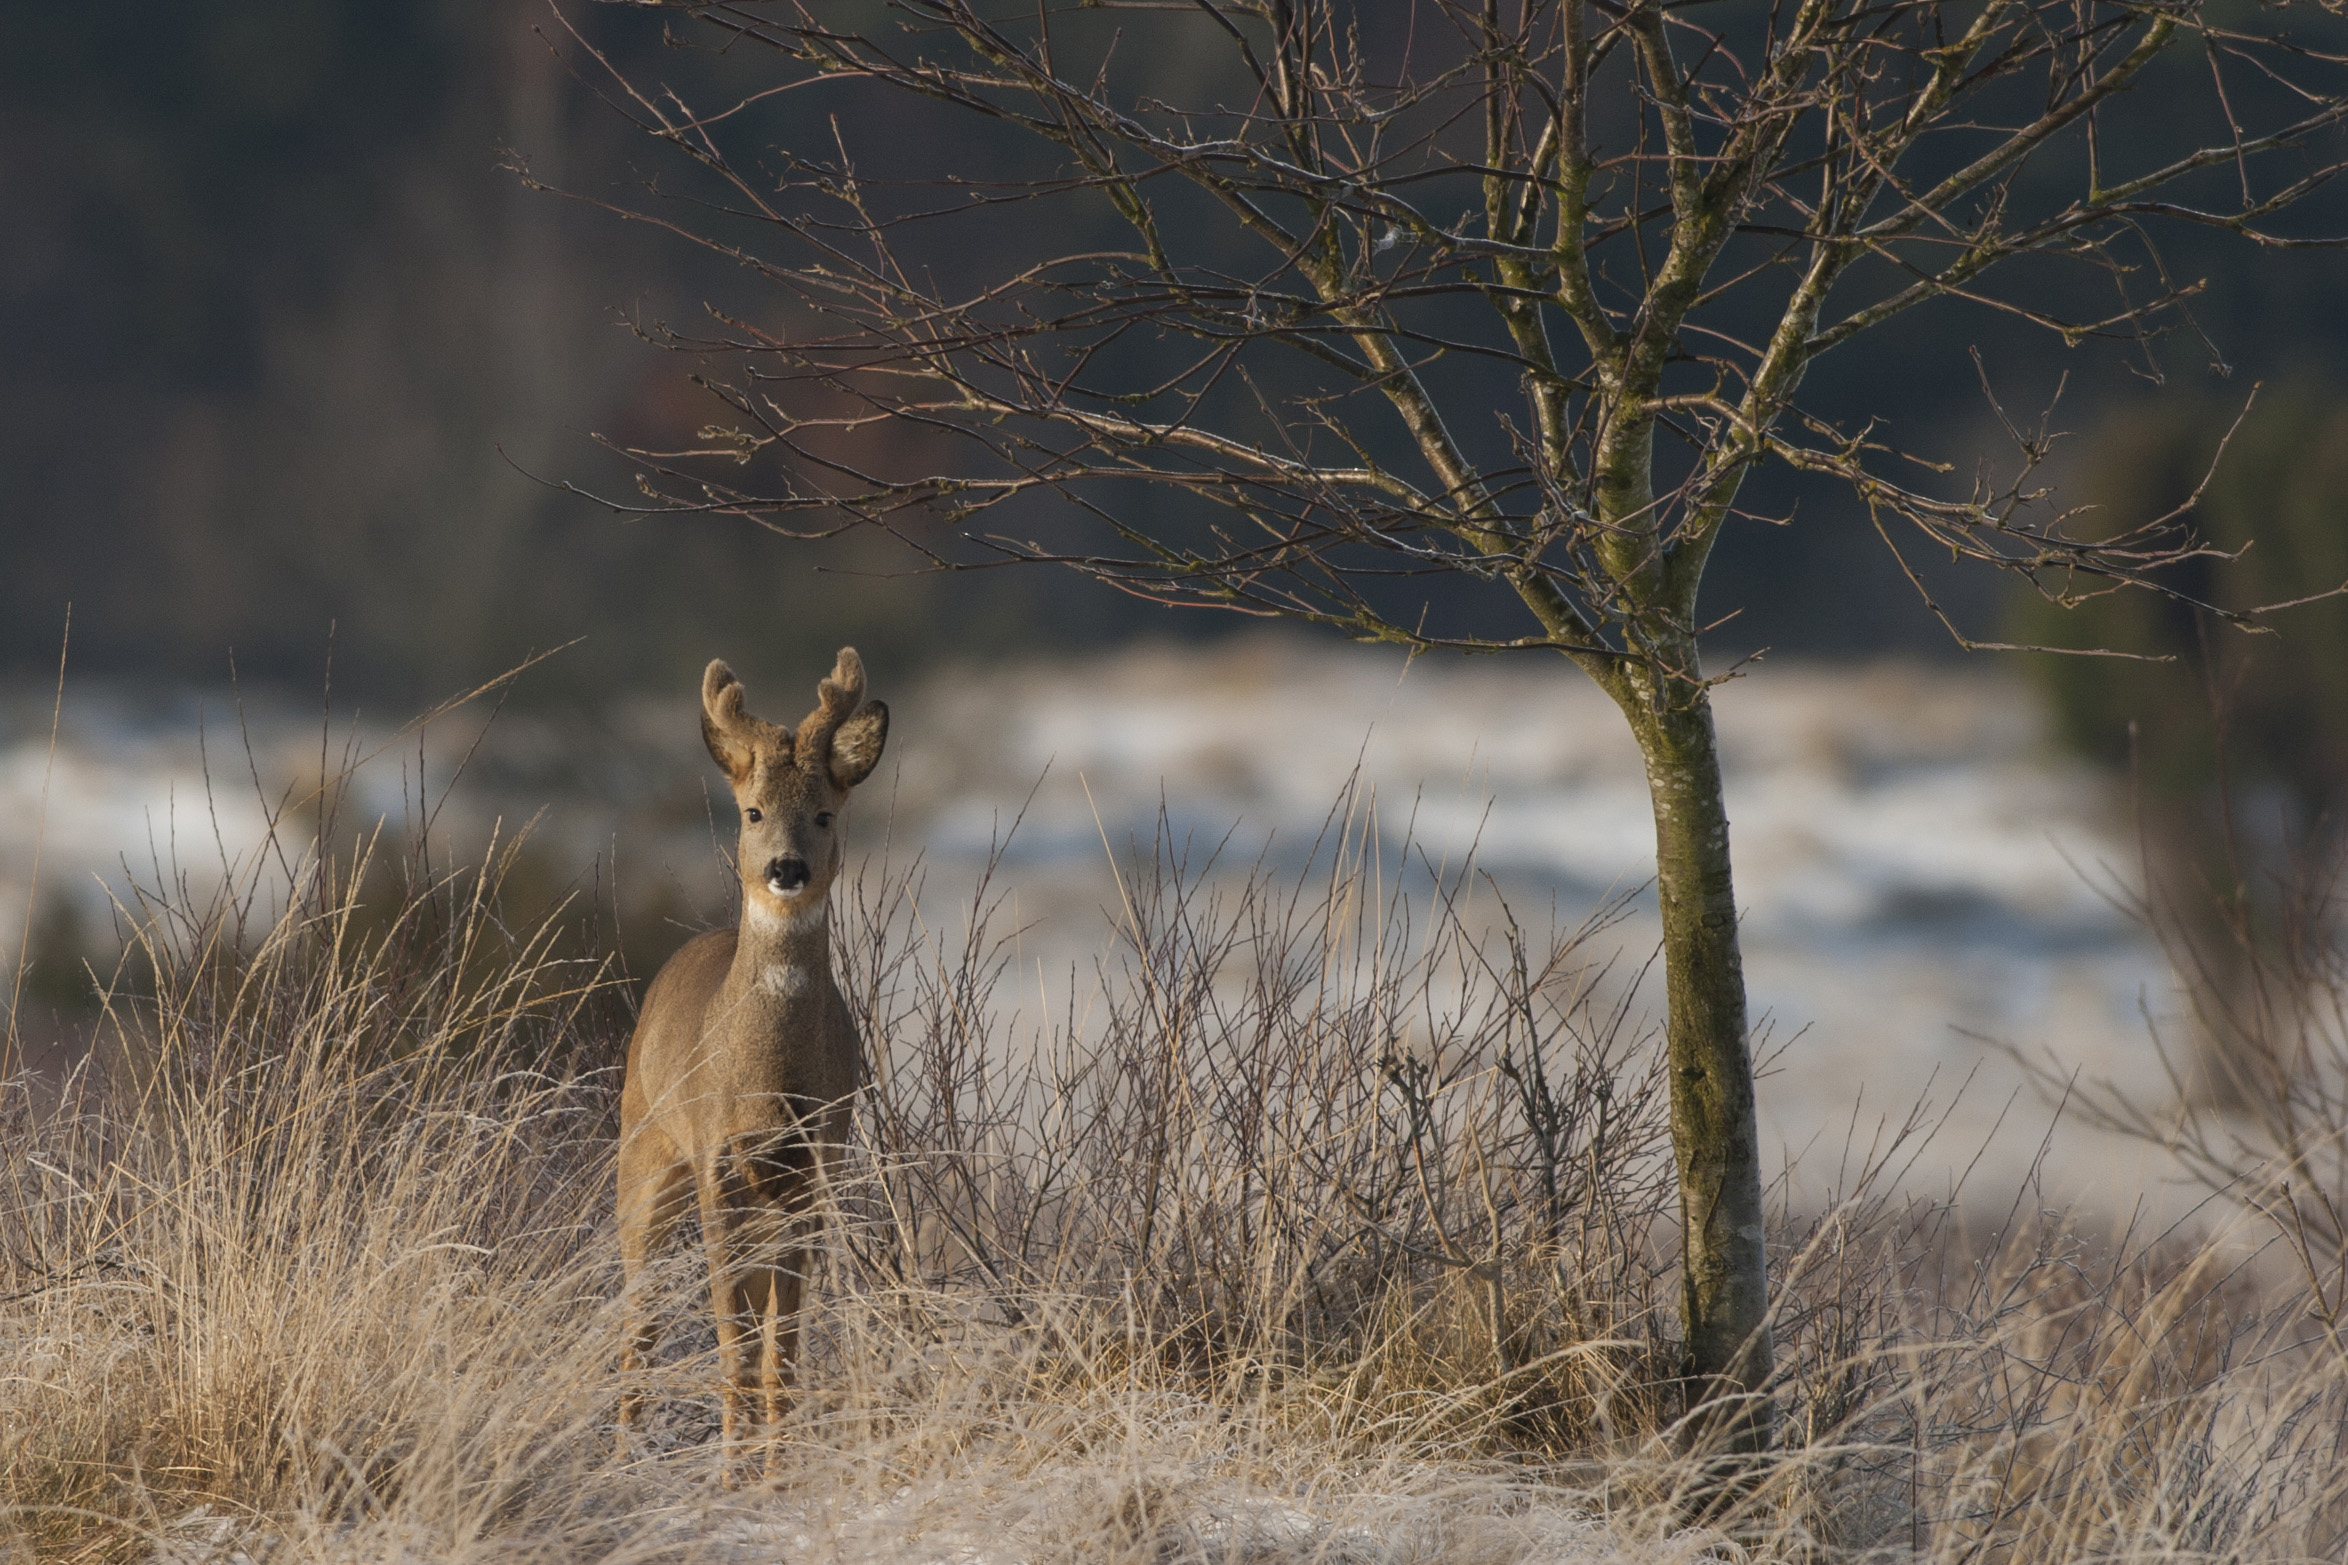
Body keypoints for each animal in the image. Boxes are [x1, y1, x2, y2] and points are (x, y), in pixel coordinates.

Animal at [615, 648, 887, 1475]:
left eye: (824, 813)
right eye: (753, 812)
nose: (787, 868)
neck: (771, 1084)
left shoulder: (813, 1171)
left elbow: (781, 1351)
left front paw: (772, 1475)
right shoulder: (716, 1166)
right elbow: (732, 1343)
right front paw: (733, 1470)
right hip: (641, 1157)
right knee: (637, 1317)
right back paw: (622, 1449)